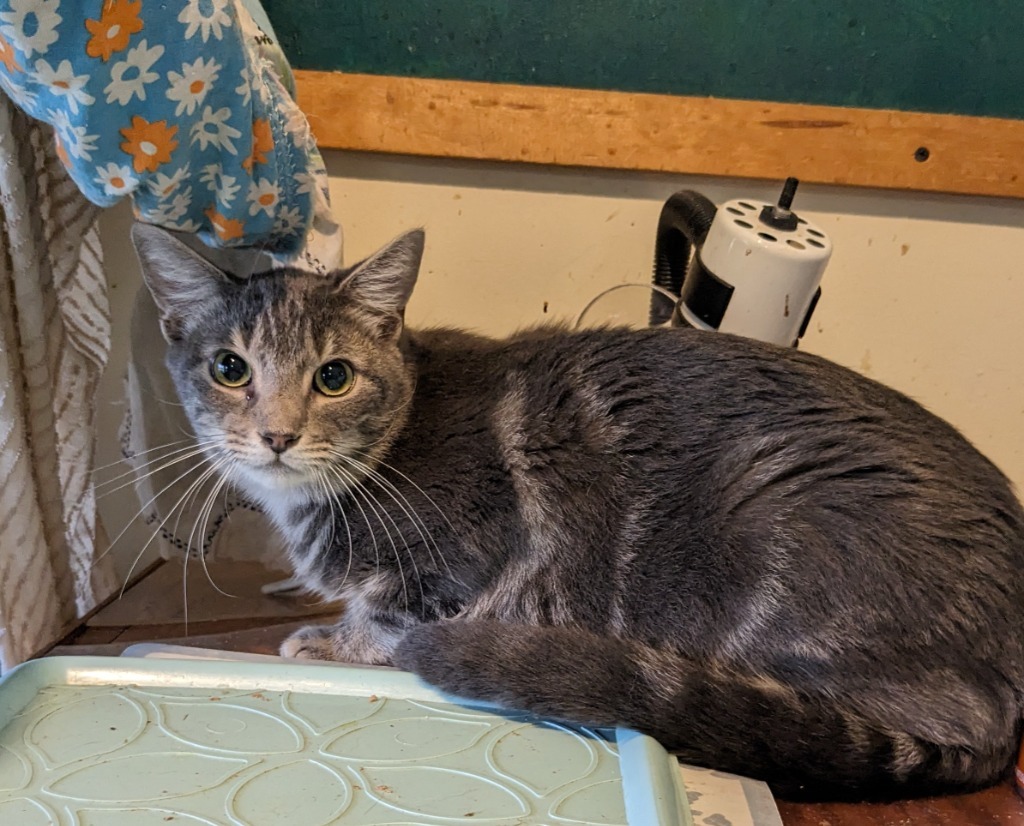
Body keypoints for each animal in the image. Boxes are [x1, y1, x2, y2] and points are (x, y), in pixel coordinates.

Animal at [134, 224, 1024, 802]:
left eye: (334, 376)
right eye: (229, 368)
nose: (278, 435)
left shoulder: (460, 567)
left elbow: (384, 619)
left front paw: (326, 643)